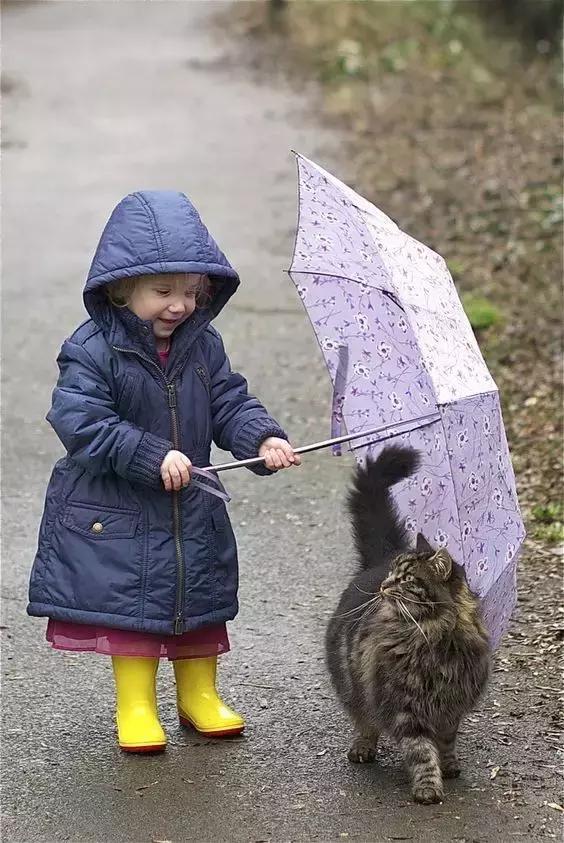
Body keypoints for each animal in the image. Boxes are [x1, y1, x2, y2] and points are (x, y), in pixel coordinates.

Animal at [324, 442, 492, 804]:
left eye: (405, 580)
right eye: (393, 575)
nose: (384, 586)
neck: (434, 637)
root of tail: (375, 561)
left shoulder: (450, 708)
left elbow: (445, 743)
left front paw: (449, 766)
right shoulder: (405, 708)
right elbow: (422, 751)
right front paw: (428, 787)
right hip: (354, 686)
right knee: (364, 720)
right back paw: (363, 748)